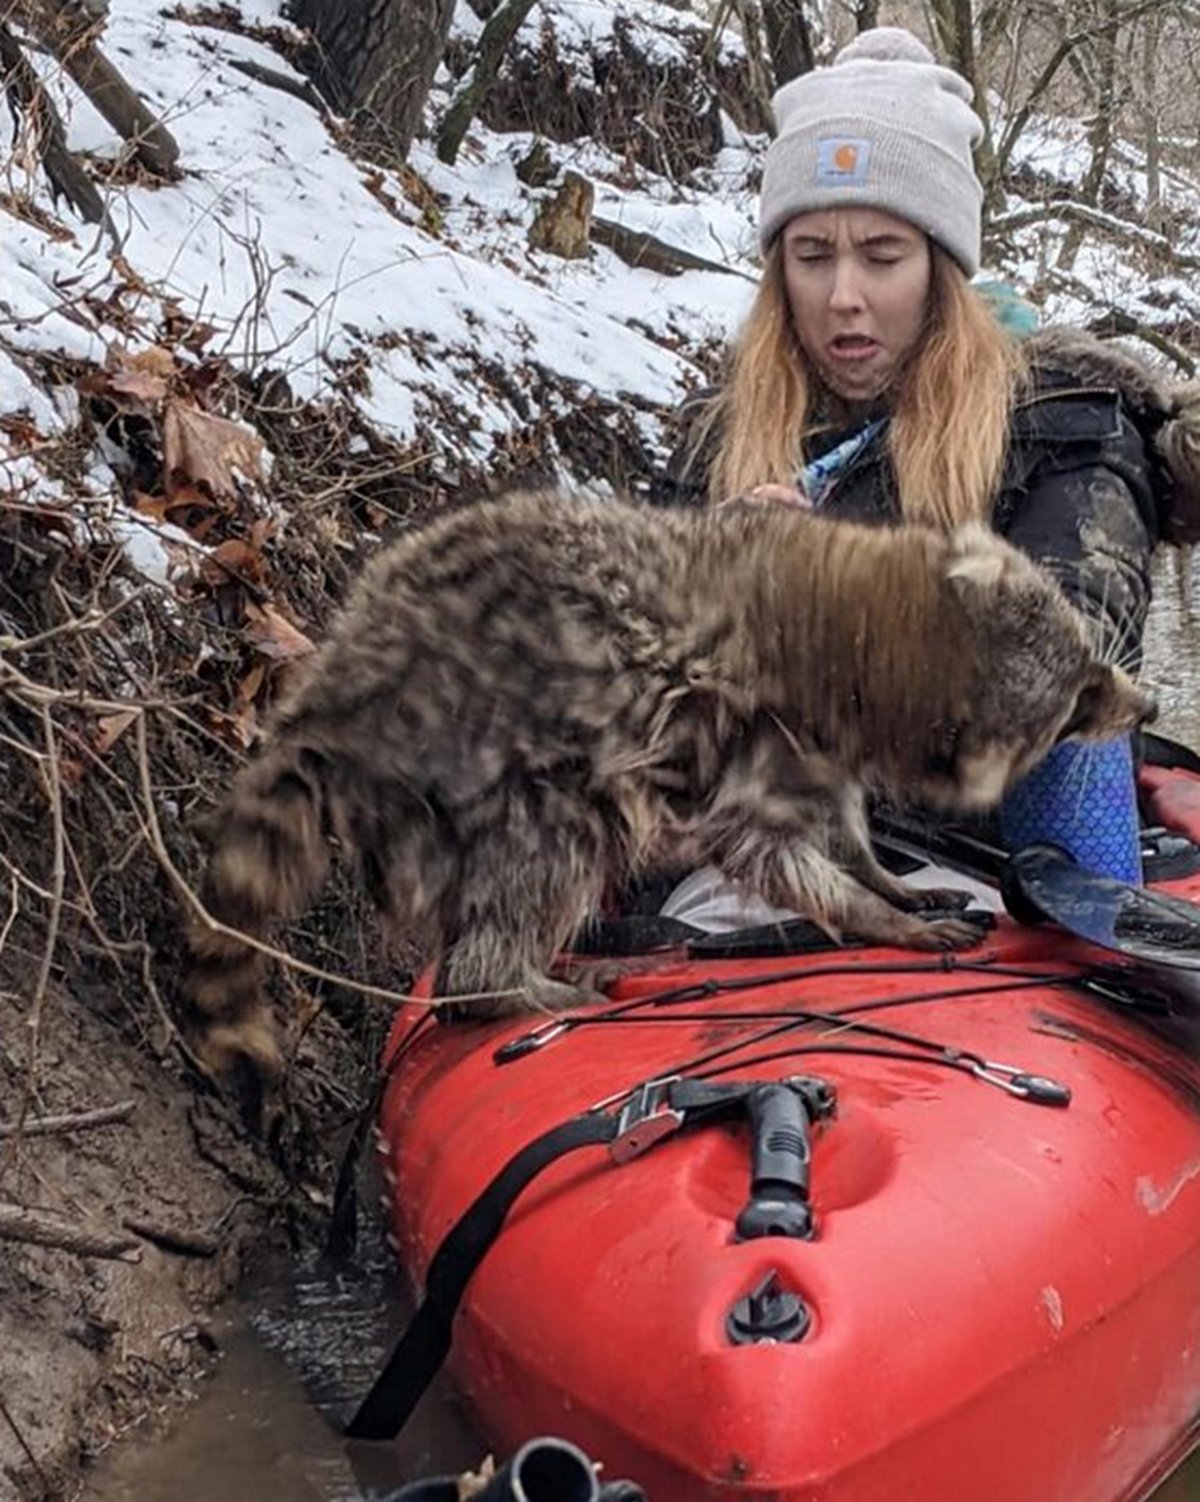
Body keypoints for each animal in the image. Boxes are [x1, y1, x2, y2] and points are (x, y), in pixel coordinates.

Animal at [183, 492, 1159, 1093]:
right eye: (1077, 707)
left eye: (1087, 660)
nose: (1146, 706)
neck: (871, 624)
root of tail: (344, 686)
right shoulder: (741, 738)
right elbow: (773, 855)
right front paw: (882, 917)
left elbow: (839, 825)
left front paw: (884, 877)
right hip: (491, 767)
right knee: (549, 855)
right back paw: (509, 983)